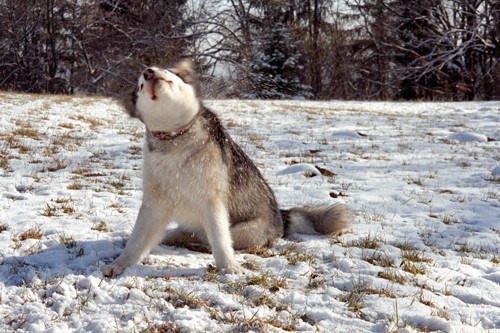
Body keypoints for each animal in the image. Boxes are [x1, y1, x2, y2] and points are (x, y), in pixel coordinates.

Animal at [100, 59, 352, 274]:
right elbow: (136, 241)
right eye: (141, 85)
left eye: (167, 71)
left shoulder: (212, 201)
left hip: (241, 230)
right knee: (183, 234)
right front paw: (119, 264)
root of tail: (282, 217)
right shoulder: (154, 203)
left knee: (211, 239)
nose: (148, 71)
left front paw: (229, 268)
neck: (175, 138)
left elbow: (221, 241)